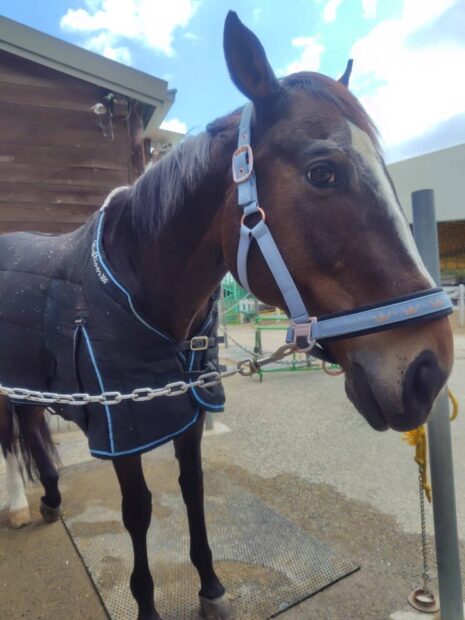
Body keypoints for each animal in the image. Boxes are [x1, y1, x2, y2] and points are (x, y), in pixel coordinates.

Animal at [0, 11, 454, 620]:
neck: (144, 295)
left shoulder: (190, 413)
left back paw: (48, 496)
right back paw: (19, 505)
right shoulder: (123, 428)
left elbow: (193, 490)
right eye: (322, 173)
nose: (429, 370)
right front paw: (147, 604)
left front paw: (211, 586)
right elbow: (138, 510)